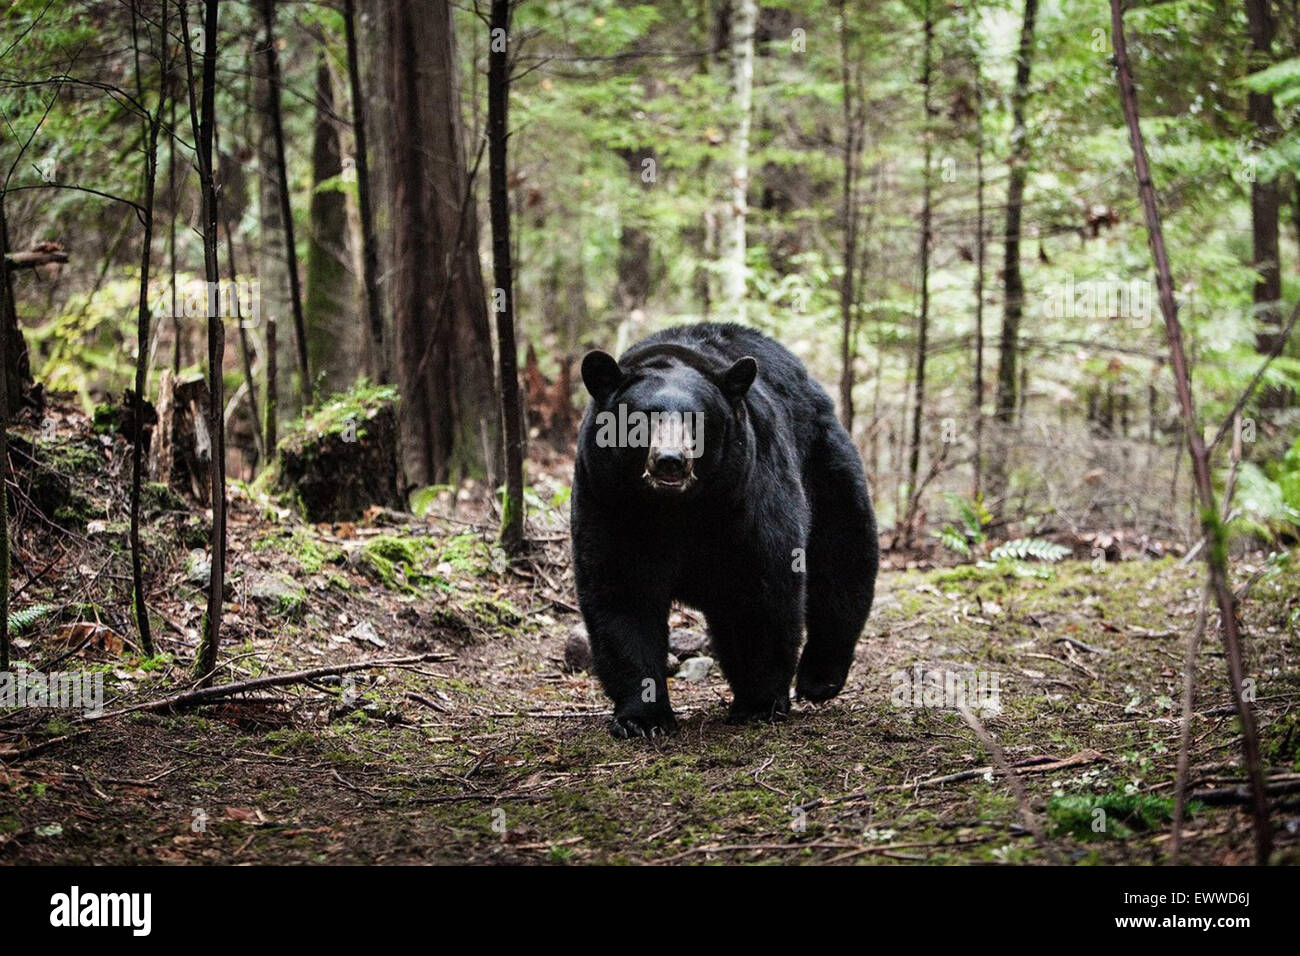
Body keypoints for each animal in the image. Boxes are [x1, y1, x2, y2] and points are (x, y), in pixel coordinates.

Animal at [574, 323, 878, 738]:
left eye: (697, 419)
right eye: (643, 418)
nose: (671, 461)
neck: (675, 510)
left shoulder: (745, 497)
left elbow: (759, 589)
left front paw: (758, 702)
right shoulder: (608, 500)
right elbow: (623, 595)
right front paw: (642, 717)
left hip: (824, 464)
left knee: (843, 559)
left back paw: (820, 679)